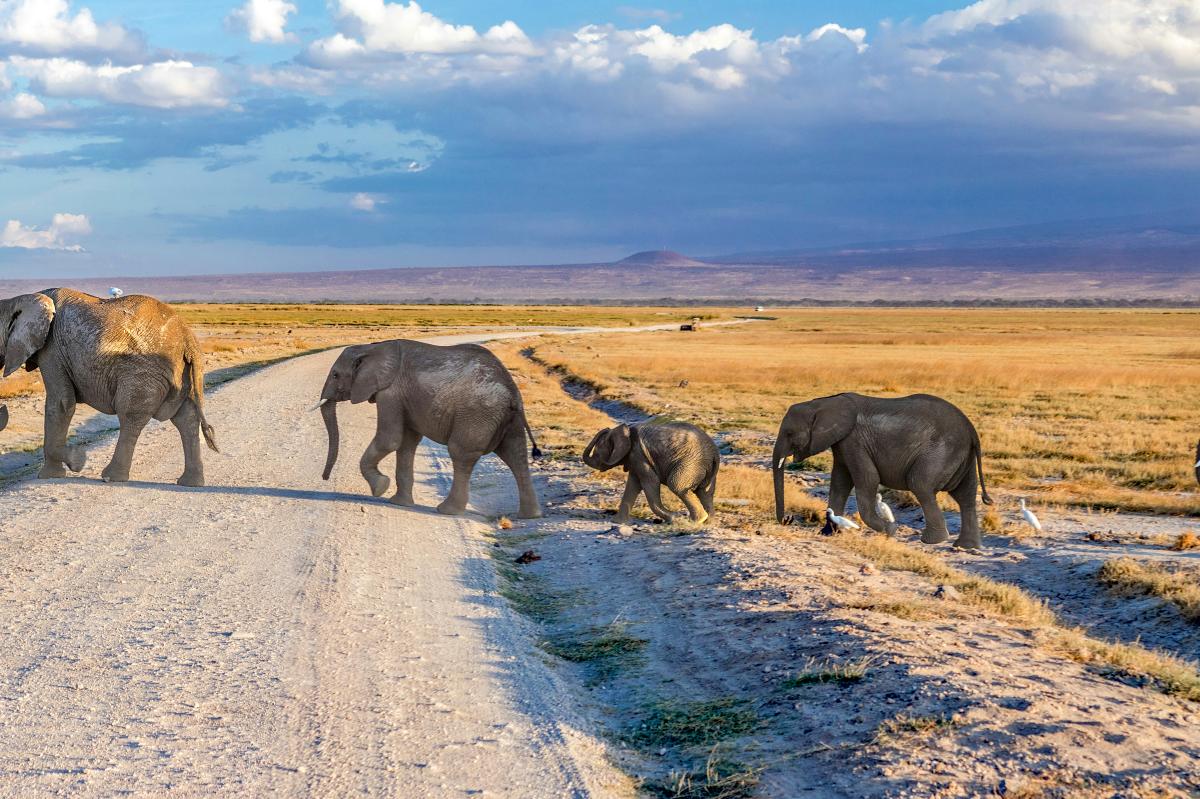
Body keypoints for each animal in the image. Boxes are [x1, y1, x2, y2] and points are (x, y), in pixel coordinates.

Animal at [0, 288, 218, 486]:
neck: (22, 299)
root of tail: (189, 341)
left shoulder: (52, 349)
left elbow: (61, 403)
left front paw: (74, 462)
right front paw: (64, 468)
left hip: (143, 373)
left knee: (130, 416)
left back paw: (111, 477)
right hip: (183, 374)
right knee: (186, 419)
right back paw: (190, 483)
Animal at [319, 339, 542, 518]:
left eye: (336, 375)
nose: (325, 478)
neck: (371, 347)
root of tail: (513, 392)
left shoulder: (391, 393)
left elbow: (390, 439)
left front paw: (380, 488)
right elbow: (406, 443)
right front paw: (399, 503)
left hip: (478, 414)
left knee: (461, 454)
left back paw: (447, 511)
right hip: (506, 418)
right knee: (516, 455)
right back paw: (529, 516)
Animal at [582, 420, 719, 524]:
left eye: (597, 453)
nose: (605, 429)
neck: (626, 431)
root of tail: (715, 454)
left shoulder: (639, 455)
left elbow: (651, 482)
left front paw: (675, 518)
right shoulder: (635, 459)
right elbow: (633, 485)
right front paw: (618, 522)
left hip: (691, 463)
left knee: (676, 485)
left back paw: (696, 521)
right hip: (704, 468)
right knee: (705, 492)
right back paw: (708, 522)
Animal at [772, 393, 992, 549]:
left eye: (789, 433)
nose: (787, 519)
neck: (823, 403)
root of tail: (972, 430)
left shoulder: (854, 440)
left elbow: (867, 479)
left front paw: (890, 531)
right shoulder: (842, 443)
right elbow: (840, 481)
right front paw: (827, 533)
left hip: (941, 452)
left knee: (920, 485)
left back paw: (932, 541)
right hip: (961, 455)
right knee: (965, 496)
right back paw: (966, 546)